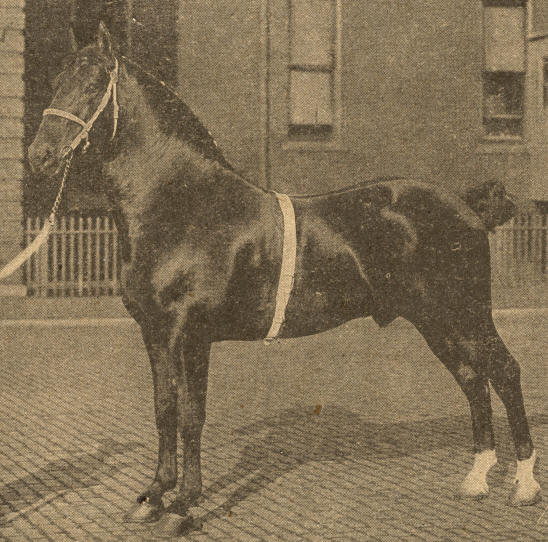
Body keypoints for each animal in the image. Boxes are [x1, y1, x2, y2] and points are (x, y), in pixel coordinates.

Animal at [28, 23, 541, 537]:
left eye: (94, 82)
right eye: (56, 80)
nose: (40, 156)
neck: (185, 205)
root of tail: (467, 205)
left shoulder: (190, 334)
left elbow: (191, 416)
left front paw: (183, 505)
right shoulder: (155, 333)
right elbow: (164, 409)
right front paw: (153, 496)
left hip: (466, 314)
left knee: (505, 371)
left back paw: (524, 484)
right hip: (435, 321)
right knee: (473, 379)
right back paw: (476, 478)